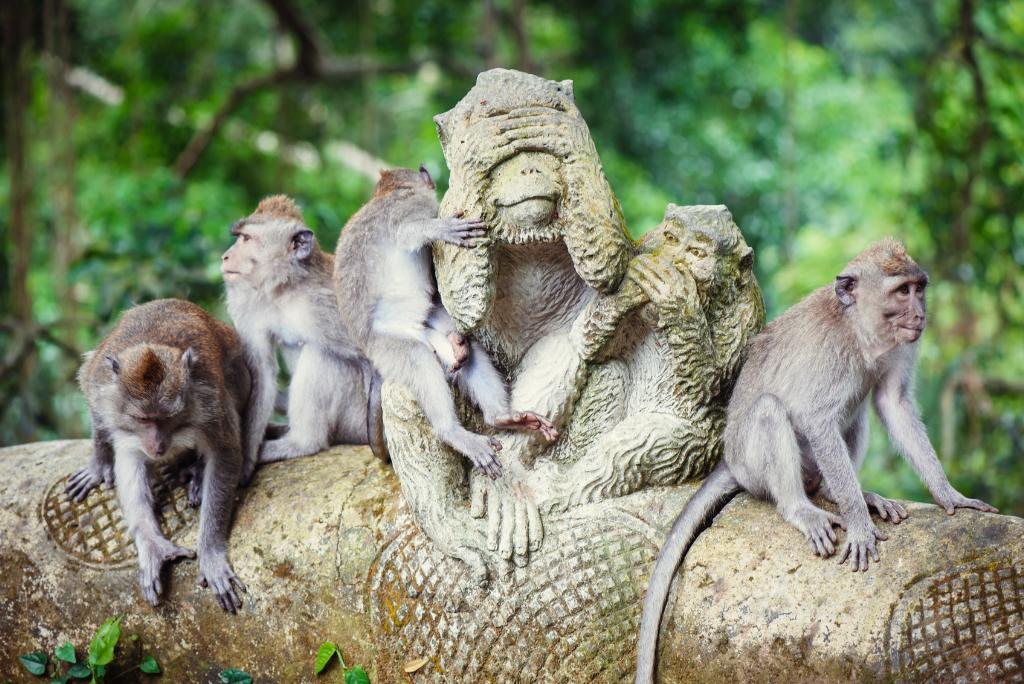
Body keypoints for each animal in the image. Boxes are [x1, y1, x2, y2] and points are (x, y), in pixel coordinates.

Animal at [69, 301, 250, 610]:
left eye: (168, 418)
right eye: (143, 419)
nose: (157, 445)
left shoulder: (209, 401)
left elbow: (225, 453)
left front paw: (210, 552)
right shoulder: (99, 383)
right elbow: (97, 410)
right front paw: (99, 463)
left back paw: (196, 472)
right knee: (130, 454)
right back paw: (153, 545)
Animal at [220, 196, 380, 464]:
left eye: (246, 238)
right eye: (239, 236)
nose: (225, 256)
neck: (287, 288)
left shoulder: (330, 306)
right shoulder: (251, 306)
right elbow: (262, 372)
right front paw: (246, 462)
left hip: (357, 422)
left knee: (323, 356)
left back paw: (303, 443)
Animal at [331, 165, 557, 479]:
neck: (387, 193)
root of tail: (367, 349)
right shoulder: (411, 205)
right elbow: (404, 232)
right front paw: (443, 230)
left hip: (425, 332)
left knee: (462, 347)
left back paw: (501, 416)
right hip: (387, 346)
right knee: (419, 361)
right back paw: (451, 431)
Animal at [634, 240, 995, 684]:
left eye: (918, 288)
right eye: (901, 292)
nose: (920, 314)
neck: (860, 331)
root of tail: (730, 463)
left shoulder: (897, 347)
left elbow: (891, 403)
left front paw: (949, 495)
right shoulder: (833, 355)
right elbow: (819, 420)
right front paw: (860, 526)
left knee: (855, 413)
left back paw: (838, 492)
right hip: (752, 465)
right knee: (771, 411)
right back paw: (801, 507)